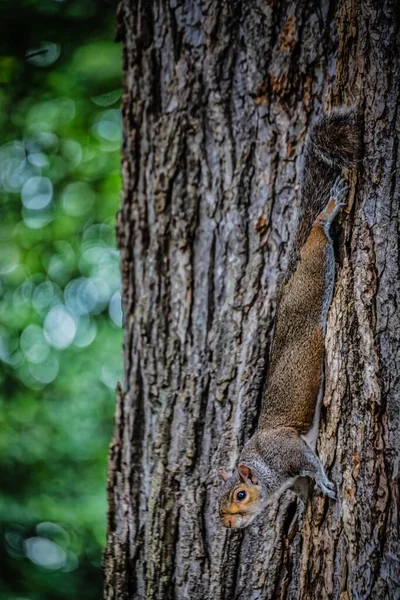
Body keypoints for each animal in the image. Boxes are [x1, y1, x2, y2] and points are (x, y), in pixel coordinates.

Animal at [219, 109, 360, 528]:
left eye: (241, 494)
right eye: (218, 501)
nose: (227, 524)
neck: (265, 467)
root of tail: (294, 267)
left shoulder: (290, 451)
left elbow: (311, 465)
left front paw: (325, 483)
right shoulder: (289, 475)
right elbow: (300, 487)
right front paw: (303, 505)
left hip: (315, 272)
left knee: (317, 232)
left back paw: (328, 212)